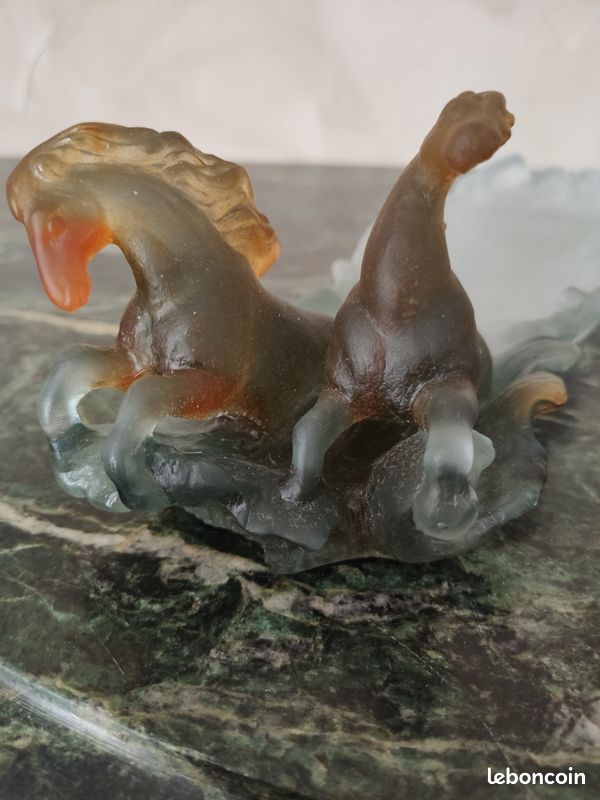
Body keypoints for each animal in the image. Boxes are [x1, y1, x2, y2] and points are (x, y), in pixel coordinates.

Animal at [7, 123, 332, 510]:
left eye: (54, 224)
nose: (69, 297)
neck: (176, 292)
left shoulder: (208, 384)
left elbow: (141, 398)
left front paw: (139, 490)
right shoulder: (133, 360)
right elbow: (71, 364)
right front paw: (69, 444)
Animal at [281, 91, 515, 539]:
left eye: (493, 124)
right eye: (452, 110)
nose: (455, 143)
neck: (394, 310)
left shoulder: (444, 389)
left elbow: (449, 447)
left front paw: (444, 512)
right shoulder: (343, 393)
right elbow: (307, 431)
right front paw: (295, 492)